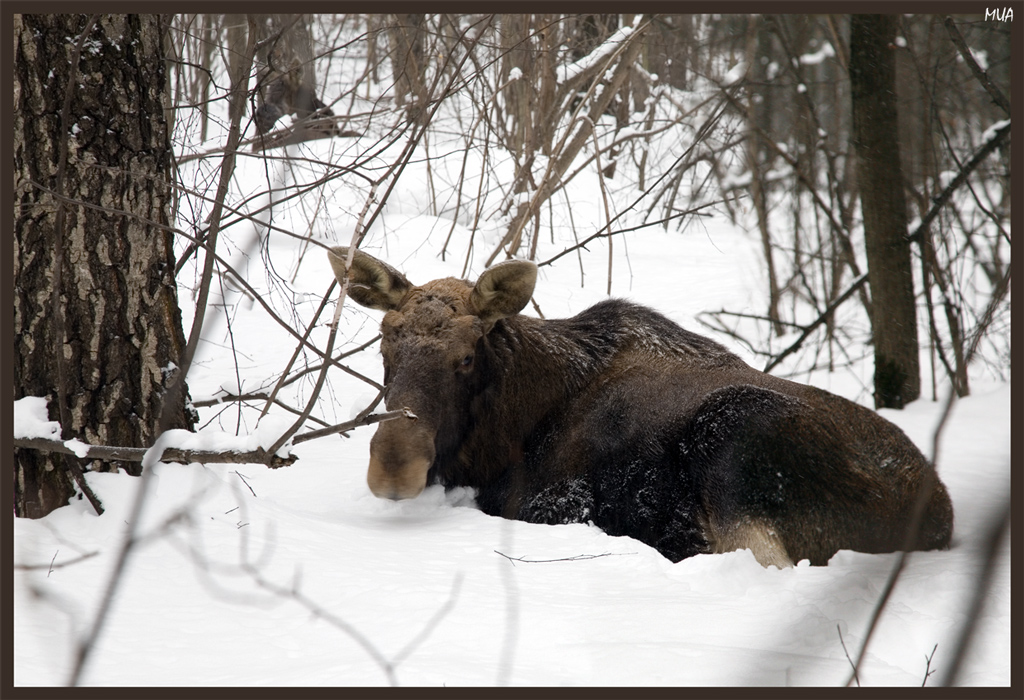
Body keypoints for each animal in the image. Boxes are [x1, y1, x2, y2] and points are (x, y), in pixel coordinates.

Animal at [327, 248, 950, 564]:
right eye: (386, 343)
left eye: (465, 355)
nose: (394, 467)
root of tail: (940, 521)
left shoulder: (555, 501)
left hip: (736, 439)